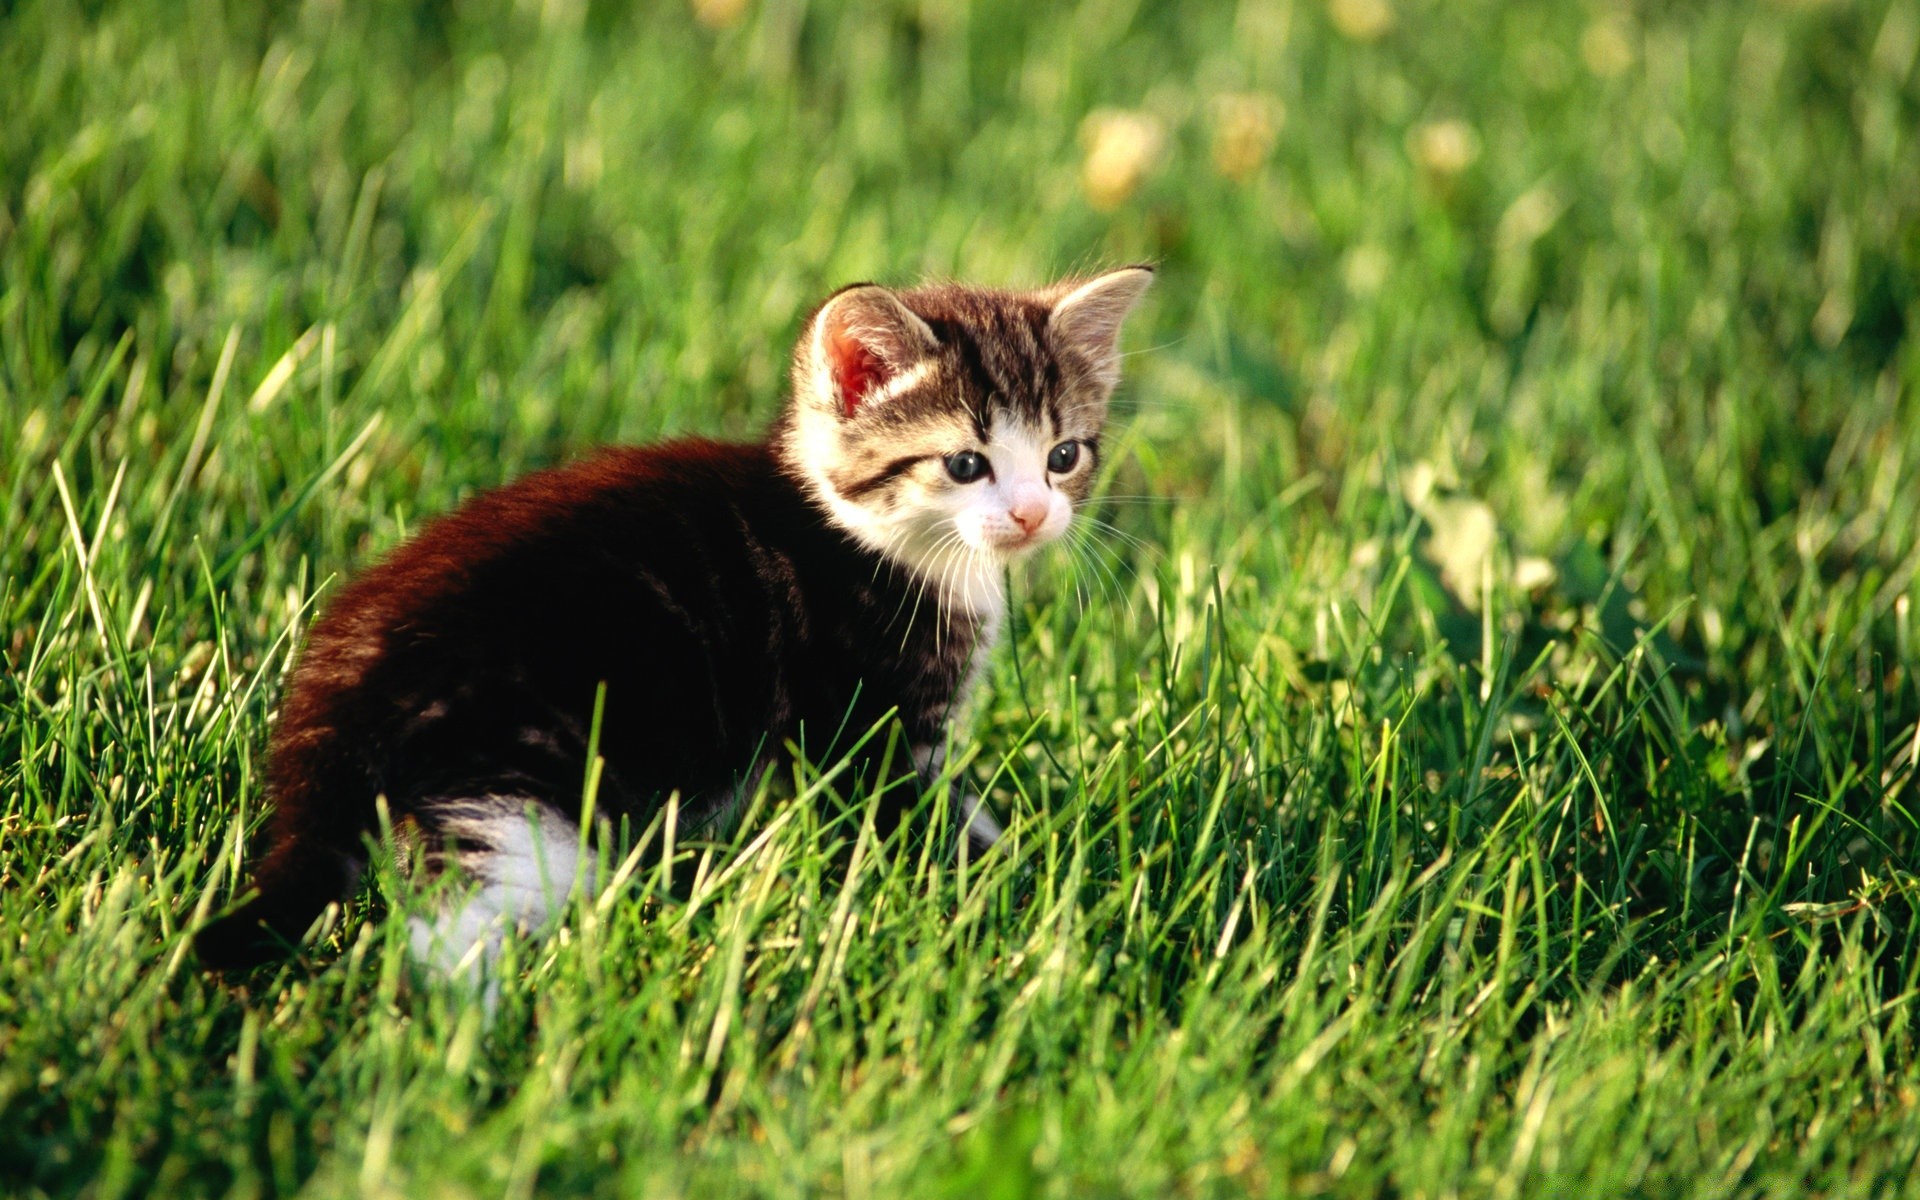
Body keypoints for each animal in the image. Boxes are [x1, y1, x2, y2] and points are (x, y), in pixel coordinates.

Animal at [194, 264, 1152, 975]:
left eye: (1065, 455)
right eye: (965, 464)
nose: (1033, 515)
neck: (862, 534)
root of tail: (335, 691)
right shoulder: (867, 725)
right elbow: (932, 817)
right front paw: (1044, 888)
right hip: (523, 788)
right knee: (449, 926)